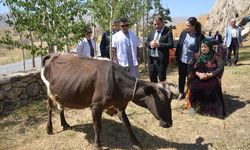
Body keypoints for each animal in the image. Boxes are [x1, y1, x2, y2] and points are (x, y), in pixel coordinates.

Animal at [41, 52, 174, 149]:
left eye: (171, 100)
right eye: (161, 101)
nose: (169, 124)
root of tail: (53, 54)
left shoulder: (120, 105)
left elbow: (127, 124)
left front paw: (136, 143)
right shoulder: (96, 106)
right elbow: (97, 127)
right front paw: (98, 145)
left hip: (59, 93)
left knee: (61, 107)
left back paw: (64, 124)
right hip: (49, 92)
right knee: (49, 108)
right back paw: (49, 129)